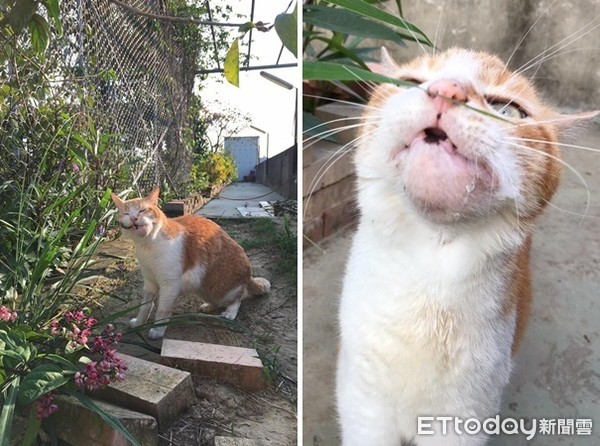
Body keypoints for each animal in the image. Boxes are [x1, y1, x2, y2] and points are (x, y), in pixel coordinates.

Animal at [111, 187, 270, 338]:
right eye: (126, 213)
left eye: (142, 210)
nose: (134, 218)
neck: (148, 245)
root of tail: (249, 275)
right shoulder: (150, 283)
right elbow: (145, 306)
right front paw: (139, 323)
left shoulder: (169, 286)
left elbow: (162, 311)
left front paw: (158, 330)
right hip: (205, 289)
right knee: (218, 301)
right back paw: (208, 306)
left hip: (224, 289)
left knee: (238, 298)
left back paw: (229, 312)